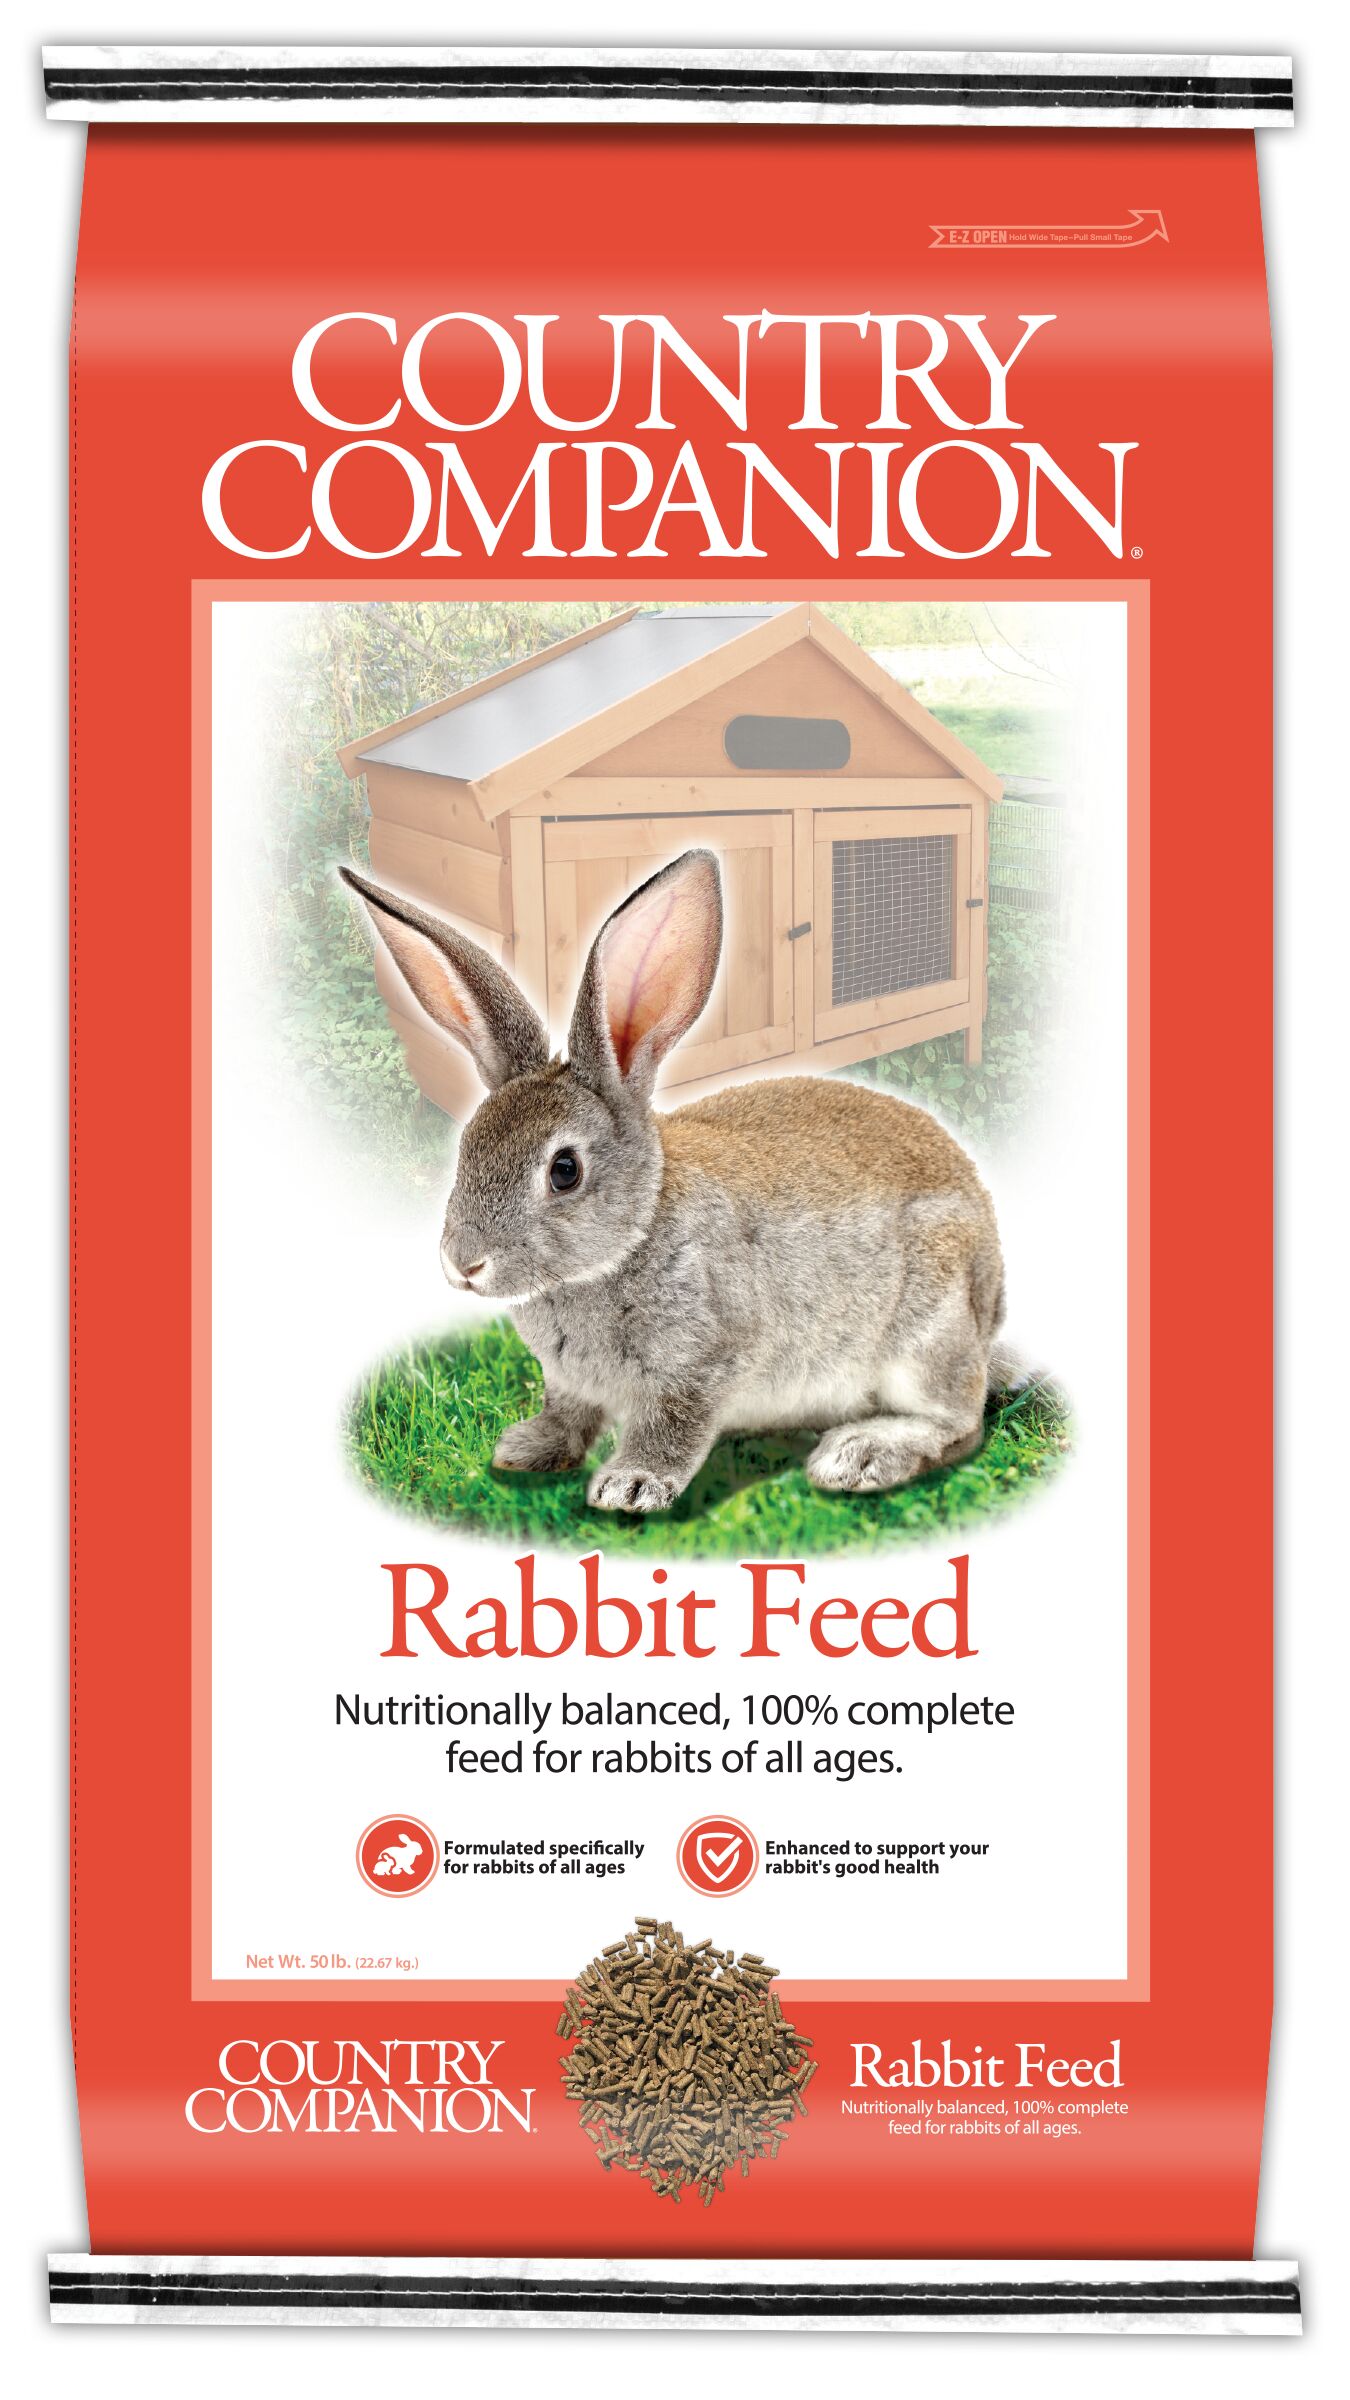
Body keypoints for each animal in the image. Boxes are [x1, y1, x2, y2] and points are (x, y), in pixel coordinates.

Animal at [340, 848, 1006, 1513]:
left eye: (564, 1171)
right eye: (467, 1148)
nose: (463, 1265)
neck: (632, 1236)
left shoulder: (706, 1359)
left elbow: (674, 1423)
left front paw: (632, 1484)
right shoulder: (569, 1382)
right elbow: (568, 1414)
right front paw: (527, 1449)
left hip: (928, 1332)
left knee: (959, 1420)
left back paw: (861, 1453)